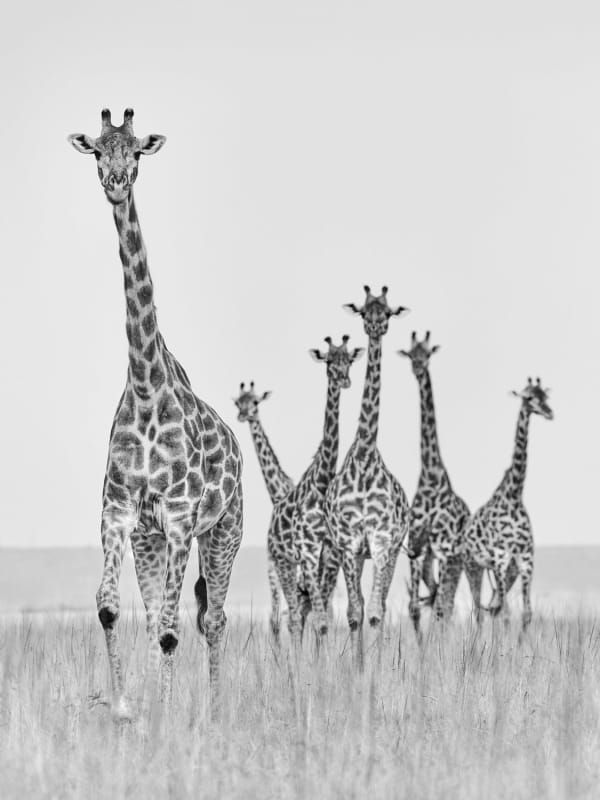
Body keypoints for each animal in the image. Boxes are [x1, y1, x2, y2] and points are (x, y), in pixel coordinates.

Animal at [68, 108, 243, 716]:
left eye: (138, 151)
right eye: (98, 151)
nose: (116, 183)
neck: (146, 389)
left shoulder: (182, 519)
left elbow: (172, 627)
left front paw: (164, 713)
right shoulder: (120, 513)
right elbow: (110, 607)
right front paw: (126, 706)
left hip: (224, 532)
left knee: (212, 619)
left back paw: (215, 709)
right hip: (153, 540)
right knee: (156, 617)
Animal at [268, 336, 363, 645]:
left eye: (349, 360)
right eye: (329, 361)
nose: (344, 380)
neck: (321, 484)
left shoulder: (328, 554)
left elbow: (325, 618)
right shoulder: (308, 554)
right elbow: (316, 618)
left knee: (300, 613)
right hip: (283, 562)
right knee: (292, 617)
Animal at [462, 377, 553, 630]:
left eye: (545, 396)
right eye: (528, 397)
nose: (549, 412)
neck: (514, 495)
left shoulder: (525, 560)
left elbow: (526, 614)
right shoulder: (501, 558)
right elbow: (505, 614)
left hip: (505, 571)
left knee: (493, 607)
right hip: (474, 567)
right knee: (479, 611)